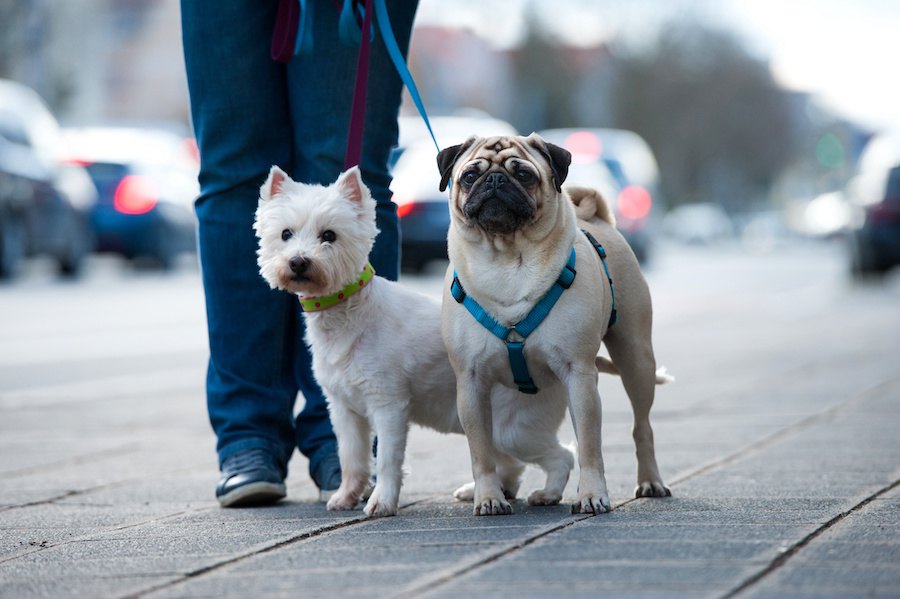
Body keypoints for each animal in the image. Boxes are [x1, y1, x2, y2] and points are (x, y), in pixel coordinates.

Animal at [253, 166, 576, 516]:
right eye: (285, 234)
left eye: (329, 236)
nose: (298, 261)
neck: (346, 316)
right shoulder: (344, 409)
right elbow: (351, 458)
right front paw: (346, 497)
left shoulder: (388, 404)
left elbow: (386, 460)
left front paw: (381, 502)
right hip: (491, 423)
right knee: (509, 462)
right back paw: (485, 491)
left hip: (515, 429)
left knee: (561, 456)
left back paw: (546, 494)